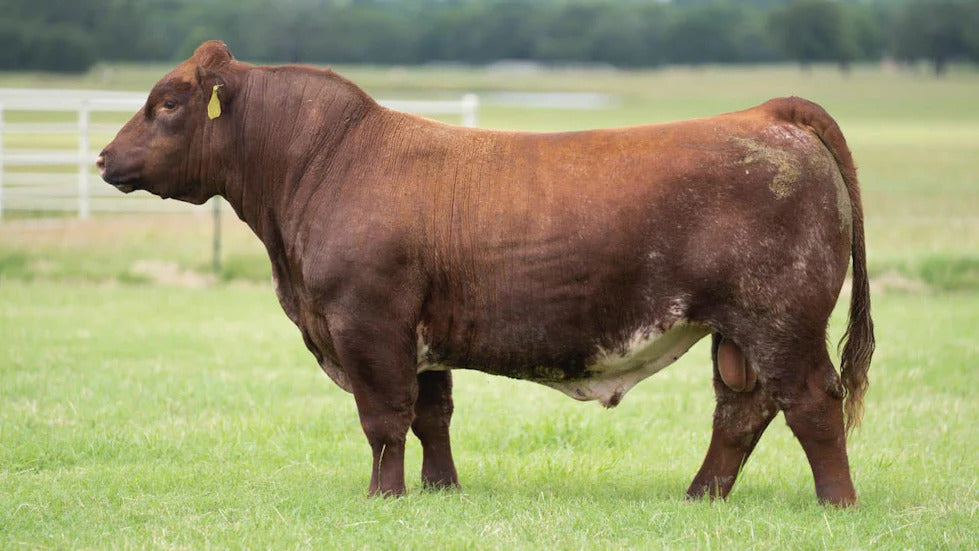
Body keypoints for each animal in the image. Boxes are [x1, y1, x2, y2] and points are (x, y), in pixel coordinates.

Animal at [98, 41, 874, 506]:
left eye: (167, 102)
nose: (104, 157)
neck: (323, 160)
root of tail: (768, 112)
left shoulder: (366, 321)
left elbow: (384, 418)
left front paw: (385, 496)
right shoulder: (418, 335)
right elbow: (431, 414)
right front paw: (440, 490)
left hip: (778, 316)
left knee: (810, 401)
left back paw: (836, 502)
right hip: (734, 331)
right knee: (741, 410)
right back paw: (699, 495)